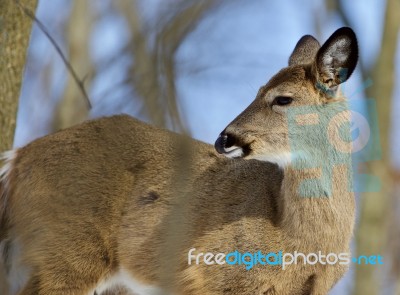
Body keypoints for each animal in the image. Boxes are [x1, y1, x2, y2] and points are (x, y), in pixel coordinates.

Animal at [0, 26, 356, 294]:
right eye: (256, 91)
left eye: (283, 99)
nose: (223, 139)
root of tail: (17, 159)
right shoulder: (212, 276)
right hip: (67, 251)